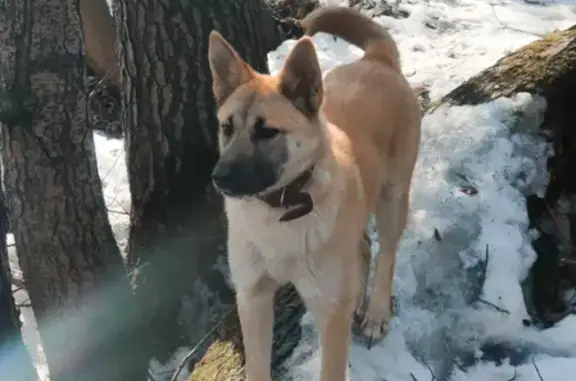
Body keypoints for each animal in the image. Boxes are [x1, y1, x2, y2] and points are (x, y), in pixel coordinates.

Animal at [209, 5, 420, 380]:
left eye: (267, 132)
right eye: (226, 127)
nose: (219, 178)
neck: (280, 208)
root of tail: (376, 60)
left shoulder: (328, 312)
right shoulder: (252, 297)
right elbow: (258, 367)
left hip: (393, 198)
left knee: (386, 255)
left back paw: (376, 311)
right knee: (363, 247)